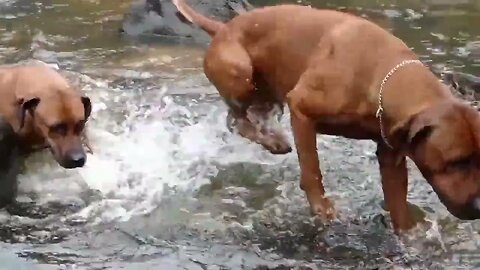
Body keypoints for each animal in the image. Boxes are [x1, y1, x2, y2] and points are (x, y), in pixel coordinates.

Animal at [173, 0, 480, 233]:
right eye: (455, 162)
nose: (479, 206)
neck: (382, 76)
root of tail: (224, 27)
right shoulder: (301, 109)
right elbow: (311, 168)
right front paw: (321, 208)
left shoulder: (391, 154)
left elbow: (398, 205)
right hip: (241, 72)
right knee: (236, 121)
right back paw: (273, 141)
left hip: (268, 95)